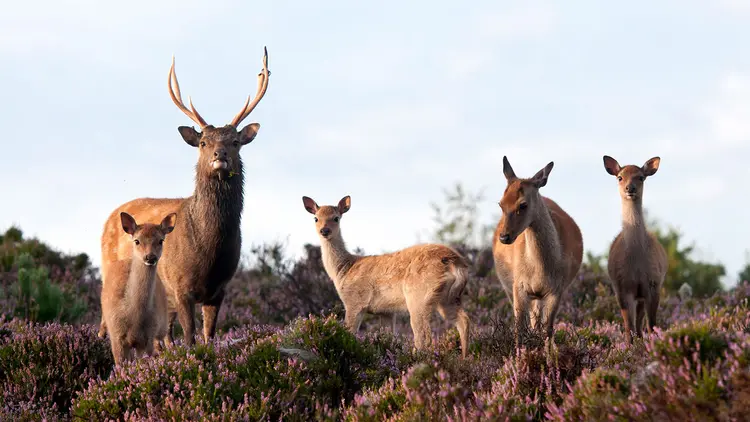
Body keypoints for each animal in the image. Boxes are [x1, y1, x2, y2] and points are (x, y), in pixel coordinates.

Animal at [98, 47, 272, 344]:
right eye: (203, 142)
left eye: (235, 142)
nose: (219, 155)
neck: (209, 251)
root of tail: (109, 218)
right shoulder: (181, 286)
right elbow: (190, 337)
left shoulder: (219, 289)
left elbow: (208, 337)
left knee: (164, 336)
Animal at [100, 213, 177, 364]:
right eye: (137, 241)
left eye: (161, 240)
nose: (150, 257)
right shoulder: (116, 336)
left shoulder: (147, 338)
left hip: (161, 327)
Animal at [302, 196, 472, 358]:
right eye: (316, 218)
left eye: (336, 218)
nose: (324, 231)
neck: (344, 269)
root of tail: (455, 262)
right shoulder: (386, 311)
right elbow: (388, 336)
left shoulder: (354, 301)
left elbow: (349, 332)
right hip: (449, 297)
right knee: (463, 320)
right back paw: (464, 358)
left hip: (419, 296)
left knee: (424, 335)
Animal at [494, 157, 588, 348]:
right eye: (501, 203)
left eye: (523, 204)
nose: (504, 236)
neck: (539, 270)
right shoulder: (518, 286)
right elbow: (519, 328)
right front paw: (519, 353)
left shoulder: (556, 290)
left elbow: (548, 330)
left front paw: (548, 354)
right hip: (510, 287)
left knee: (537, 323)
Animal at [604, 157, 668, 344]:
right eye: (620, 177)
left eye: (641, 177)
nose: (629, 188)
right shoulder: (622, 287)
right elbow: (628, 328)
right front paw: (628, 347)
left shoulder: (654, 283)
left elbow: (652, 325)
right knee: (635, 325)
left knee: (641, 323)